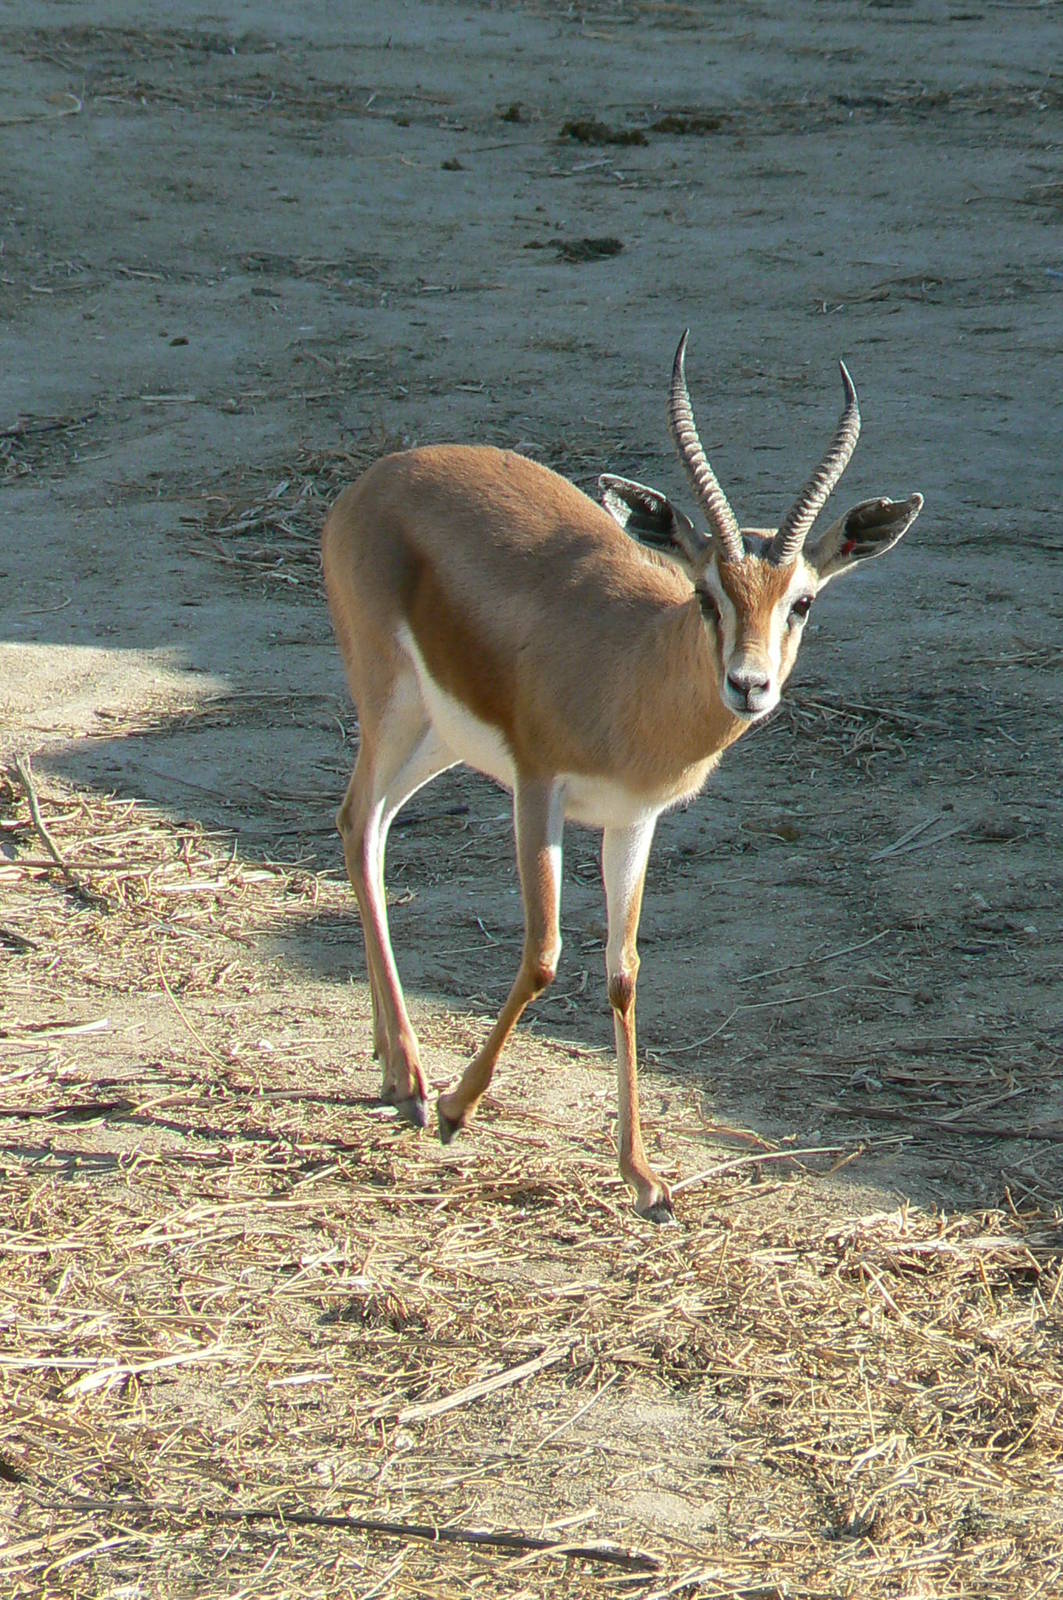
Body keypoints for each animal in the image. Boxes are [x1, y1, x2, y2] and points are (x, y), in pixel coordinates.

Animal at [322, 333, 922, 1222]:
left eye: (802, 601)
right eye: (706, 595)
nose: (749, 686)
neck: (629, 668)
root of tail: (381, 476)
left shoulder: (632, 820)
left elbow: (623, 974)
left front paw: (643, 1180)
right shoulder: (538, 788)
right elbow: (543, 952)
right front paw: (462, 1110)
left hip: (437, 736)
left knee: (372, 823)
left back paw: (394, 1068)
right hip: (390, 701)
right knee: (359, 822)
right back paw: (415, 1085)